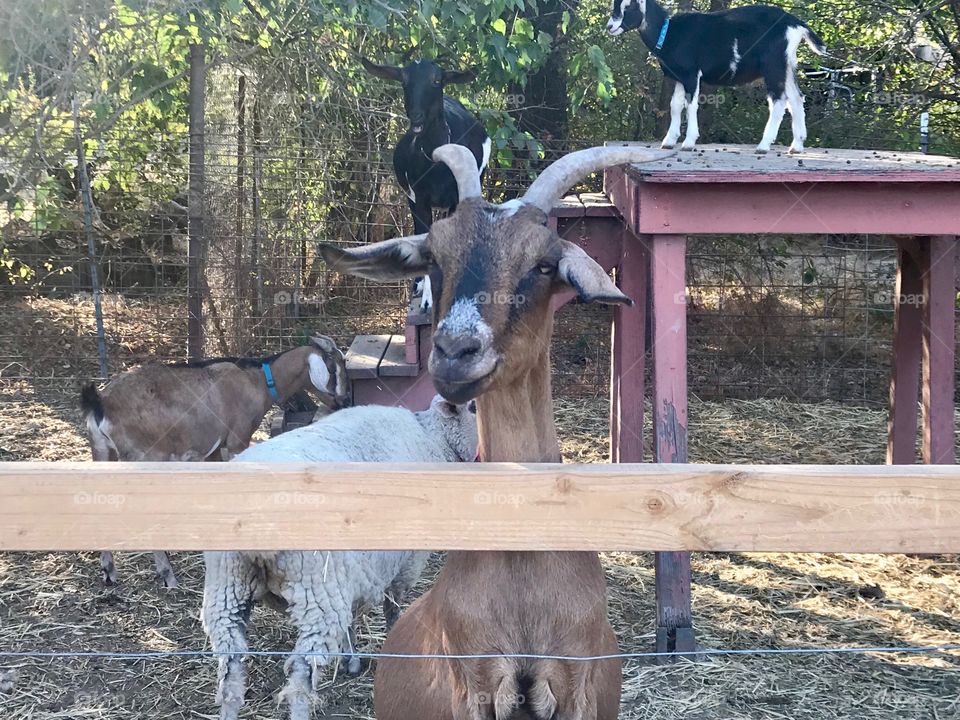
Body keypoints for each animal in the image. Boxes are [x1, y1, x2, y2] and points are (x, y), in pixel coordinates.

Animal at [80, 335, 349, 588]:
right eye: (334, 366)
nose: (344, 401)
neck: (259, 380)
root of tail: (101, 403)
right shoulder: (237, 440)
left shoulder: (215, 450)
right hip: (145, 458)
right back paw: (167, 574)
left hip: (102, 452)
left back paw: (109, 571)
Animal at [201, 395, 478, 720]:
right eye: (473, 407)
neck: (433, 436)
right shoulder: (404, 563)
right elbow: (393, 607)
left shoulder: (353, 571)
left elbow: (352, 620)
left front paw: (352, 659)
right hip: (315, 592)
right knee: (300, 674)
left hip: (228, 585)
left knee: (230, 671)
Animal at [320, 143, 672, 720]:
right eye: (434, 258)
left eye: (544, 264)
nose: (455, 351)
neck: (522, 565)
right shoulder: (476, 680)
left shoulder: (575, 678)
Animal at [361, 55, 491, 309]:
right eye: (404, 80)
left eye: (436, 80)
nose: (416, 117)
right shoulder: (418, 198)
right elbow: (426, 237)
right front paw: (427, 298)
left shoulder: (456, 198)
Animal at [606, 0, 827, 153]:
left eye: (629, 5)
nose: (609, 26)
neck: (668, 32)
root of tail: (795, 24)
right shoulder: (678, 76)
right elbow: (675, 105)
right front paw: (668, 141)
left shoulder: (691, 73)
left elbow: (690, 105)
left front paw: (688, 142)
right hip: (786, 65)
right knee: (796, 99)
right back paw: (797, 146)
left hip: (773, 65)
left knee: (779, 101)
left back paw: (764, 145)